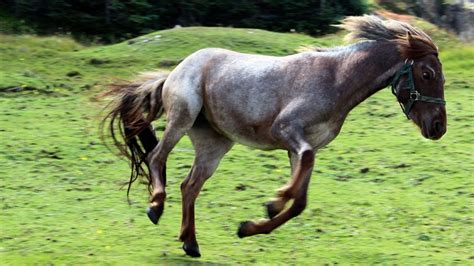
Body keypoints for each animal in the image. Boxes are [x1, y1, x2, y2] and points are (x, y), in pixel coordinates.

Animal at [102, 15, 446, 256]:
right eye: (427, 74)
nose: (438, 128)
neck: (335, 79)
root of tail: (174, 71)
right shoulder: (287, 131)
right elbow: (300, 177)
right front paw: (273, 202)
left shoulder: (303, 146)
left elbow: (300, 202)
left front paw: (249, 226)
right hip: (181, 119)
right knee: (156, 157)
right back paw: (155, 207)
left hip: (215, 144)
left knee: (189, 186)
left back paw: (190, 243)